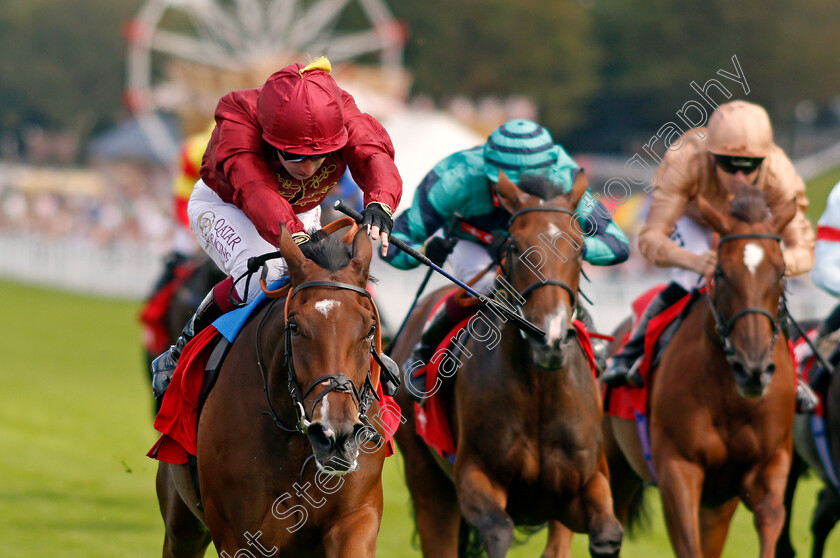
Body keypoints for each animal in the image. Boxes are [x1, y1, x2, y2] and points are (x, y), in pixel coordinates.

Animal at [156, 224, 392, 558]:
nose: (336, 435)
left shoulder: (356, 517)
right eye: (294, 327)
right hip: (181, 524)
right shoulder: (240, 539)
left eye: (371, 328)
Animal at [392, 172, 624, 558]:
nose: (550, 337)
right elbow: (498, 530)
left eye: (579, 247)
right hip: (426, 478)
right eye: (515, 246)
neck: (540, 389)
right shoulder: (475, 475)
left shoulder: (587, 483)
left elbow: (608, 534)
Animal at [608, 188, 796, 558]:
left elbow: (770, 521)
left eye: (781, 273)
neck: (731, 398)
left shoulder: (767, 467)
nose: (752, 370)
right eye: (720, 273)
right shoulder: (678, 469)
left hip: (716, 505)